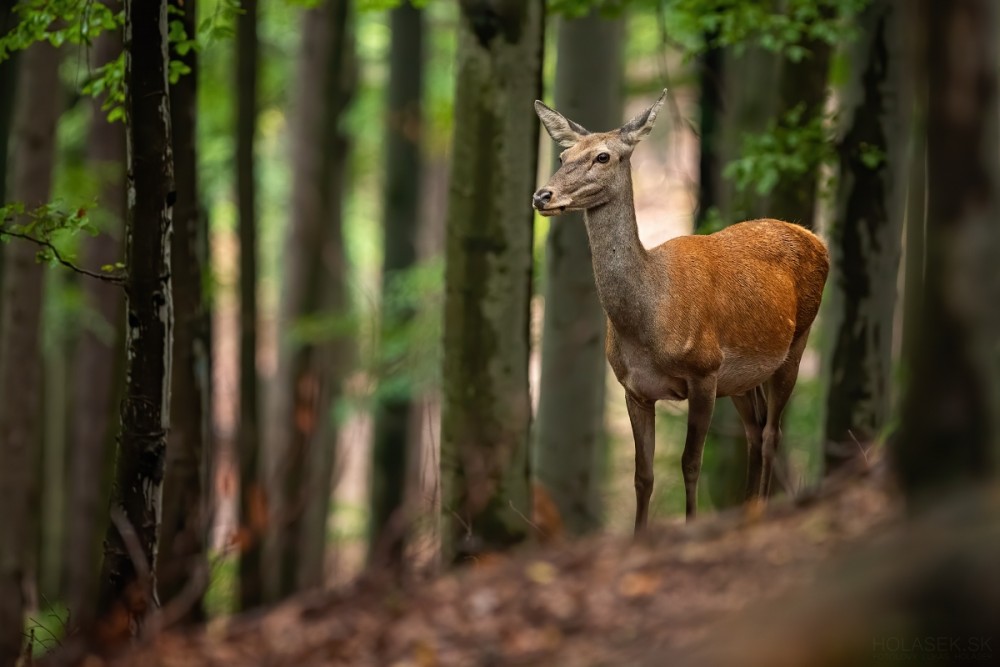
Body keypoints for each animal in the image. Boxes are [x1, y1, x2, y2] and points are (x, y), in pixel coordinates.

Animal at [532, 91, 828, 536]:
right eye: (564, 153)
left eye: (603, 156)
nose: (542, 196)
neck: (649, 320)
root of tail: (818, 240)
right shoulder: (634, 388)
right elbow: (643, 475)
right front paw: (639, 535)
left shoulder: (703, 372)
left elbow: (690, 463)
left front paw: (691, 524)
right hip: (740, 378)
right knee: (755, 429)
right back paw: (746, 508)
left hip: (796, 342)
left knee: (772, 433)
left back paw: (759, 509)